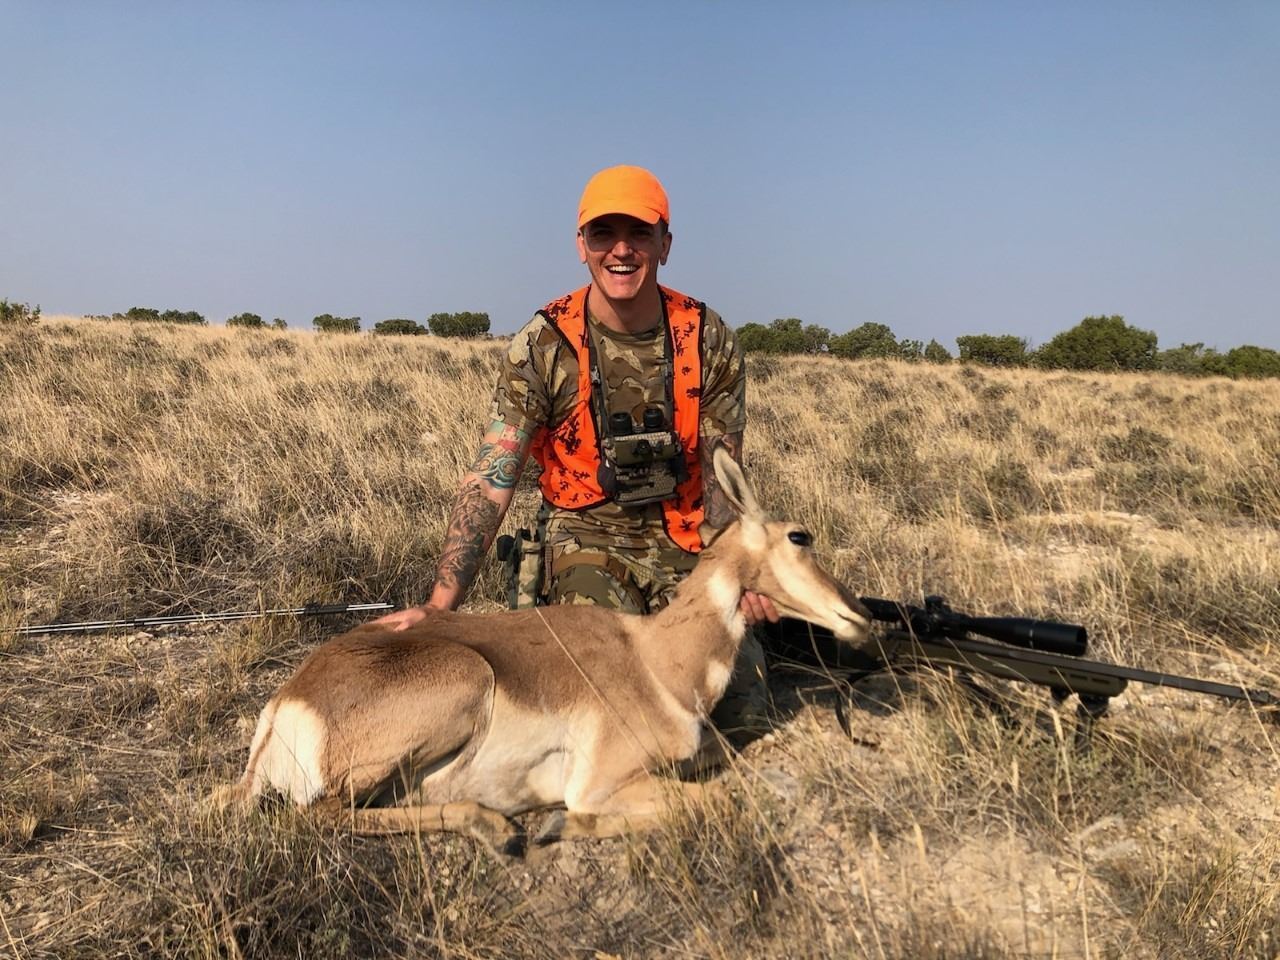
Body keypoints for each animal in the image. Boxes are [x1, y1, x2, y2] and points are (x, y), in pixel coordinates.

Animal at [217, 449, 870, 850]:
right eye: (799, 535)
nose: (861, 617)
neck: (653, 659)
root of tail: (286, 701)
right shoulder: (602, 783)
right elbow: (719, 798)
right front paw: (560, 825)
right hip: (463, 686)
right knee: (323, 816)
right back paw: (499, 827)